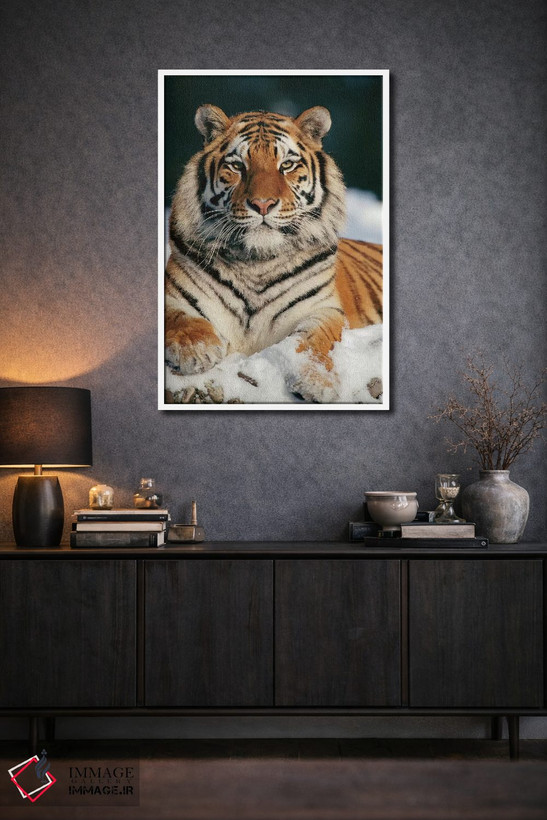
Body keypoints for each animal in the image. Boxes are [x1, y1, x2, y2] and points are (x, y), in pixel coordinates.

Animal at [165, 104, 382, 402]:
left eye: (287, 165)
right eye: (237, 166)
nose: (262, 204)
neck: (256, 261)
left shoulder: (323, 309)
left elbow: (315, 341)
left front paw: (317, 381)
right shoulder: (173, 296)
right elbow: (178, 317)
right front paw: (195, 351)